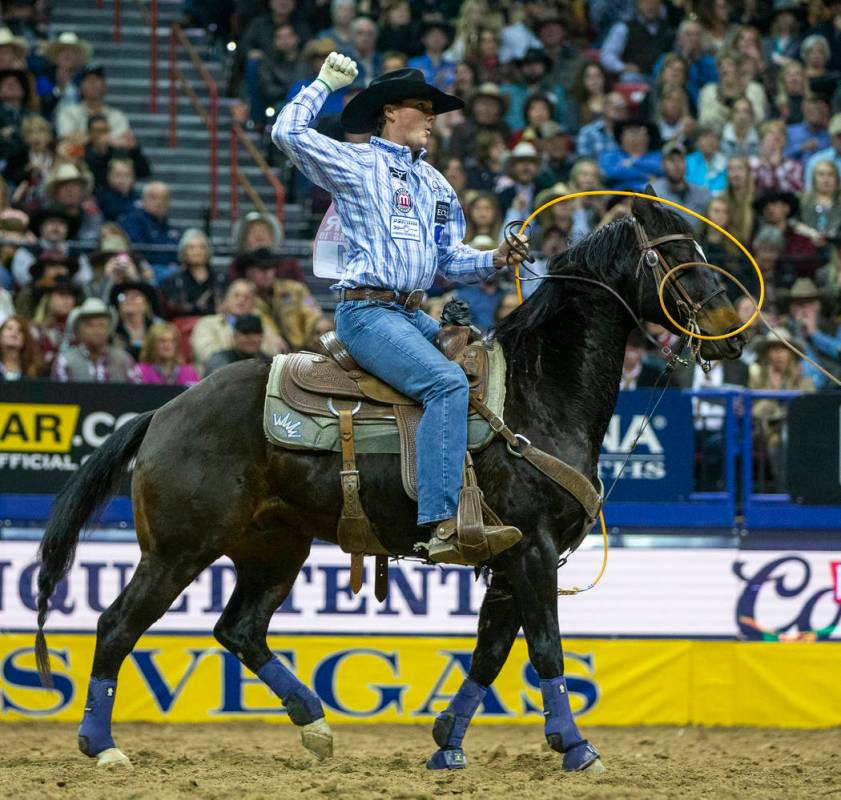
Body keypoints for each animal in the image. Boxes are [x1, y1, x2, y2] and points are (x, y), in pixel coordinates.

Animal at [34, 192, 740, 768]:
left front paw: (447, 744)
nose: (733, 332)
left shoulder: (509, 556)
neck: (538, 391)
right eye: (677, 255)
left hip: (273, 549)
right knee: (116, 625)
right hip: (178, 550)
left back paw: (314, 725)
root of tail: (164, 412)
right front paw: (574, 745)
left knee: (239, 629)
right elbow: (545, 649)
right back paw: (101, 745)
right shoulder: (534, 549)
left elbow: (490, 653)